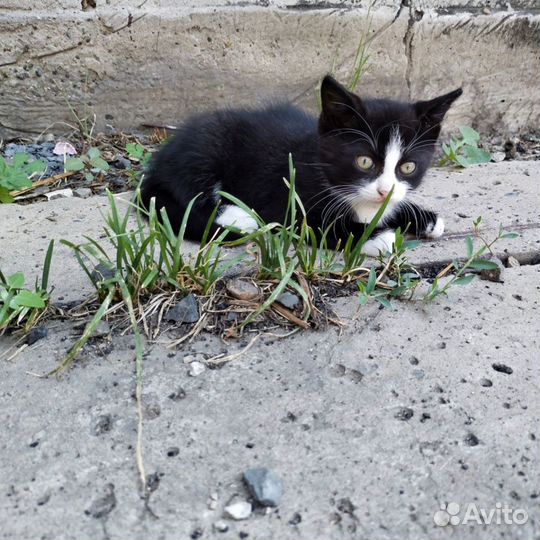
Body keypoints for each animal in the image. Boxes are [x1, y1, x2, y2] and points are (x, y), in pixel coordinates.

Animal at [141, 74, 462, 258]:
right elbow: (315, 225)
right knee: (191, 197)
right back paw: (239, 216)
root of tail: (159, 163)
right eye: (364, 162)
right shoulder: (286, 195)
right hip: (205, 149)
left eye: (407, 167)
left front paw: (423, 217)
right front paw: (377, 237)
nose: (384, 191)